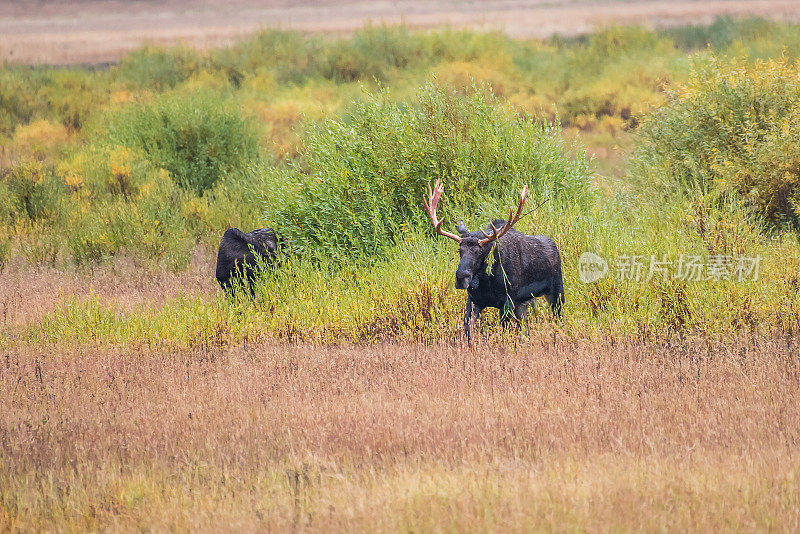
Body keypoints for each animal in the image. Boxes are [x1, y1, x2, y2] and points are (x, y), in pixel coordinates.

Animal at [424, 180, 564, 344]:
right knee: (525, 328)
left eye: (479, 252)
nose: (461, 278)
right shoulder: (474, 301)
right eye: (459, 250)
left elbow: (504, 332)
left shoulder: (507, 301)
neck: (486, 281)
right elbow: (467, 329)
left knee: (559, 319)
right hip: (522, 303)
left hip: (556, 292)